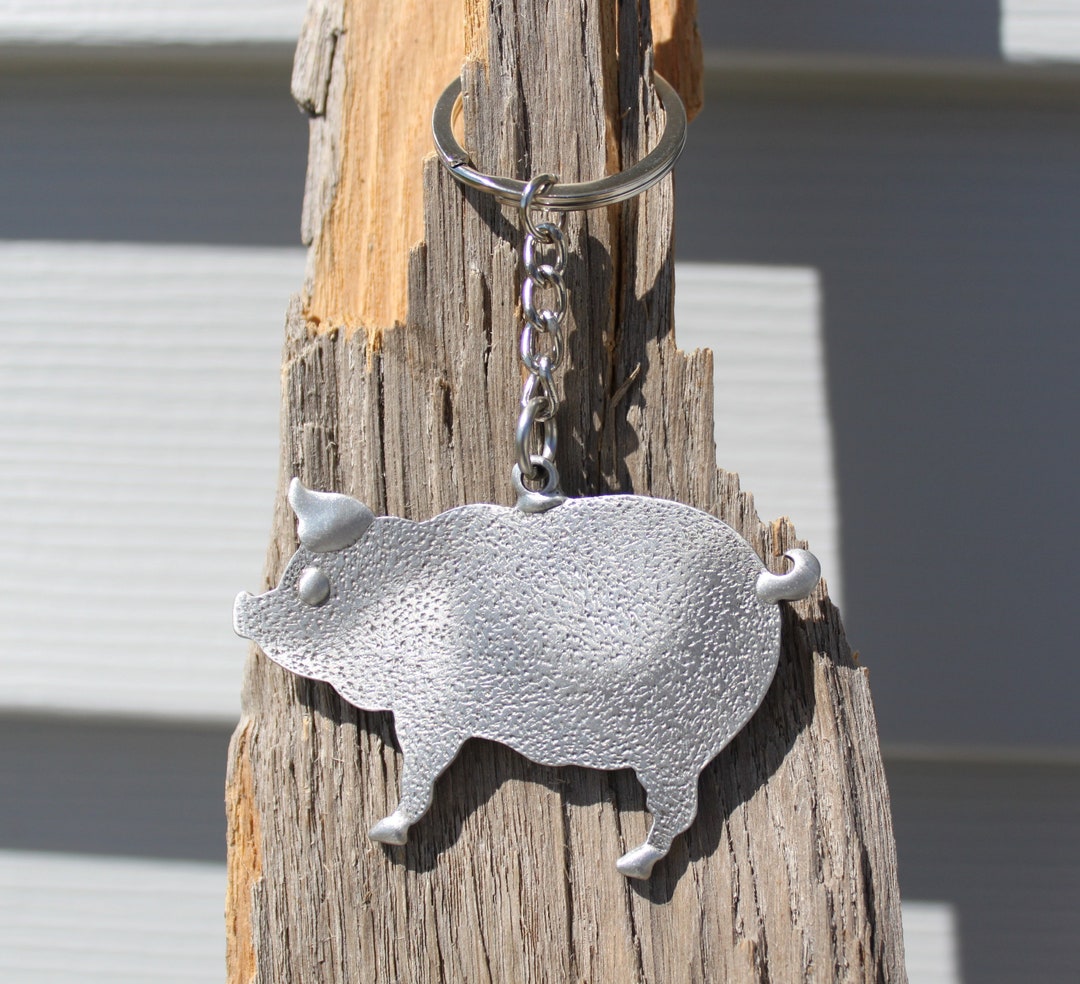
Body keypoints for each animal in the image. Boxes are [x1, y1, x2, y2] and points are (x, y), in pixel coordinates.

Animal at [234, 479, 819, 879]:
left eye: (313, 589)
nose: (242, 610)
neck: (403, 597)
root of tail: (763, 582)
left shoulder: (434, 712)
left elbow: (420, 775)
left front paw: (383, 830)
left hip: (676, 738)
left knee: (680, 812)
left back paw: (628, 864)